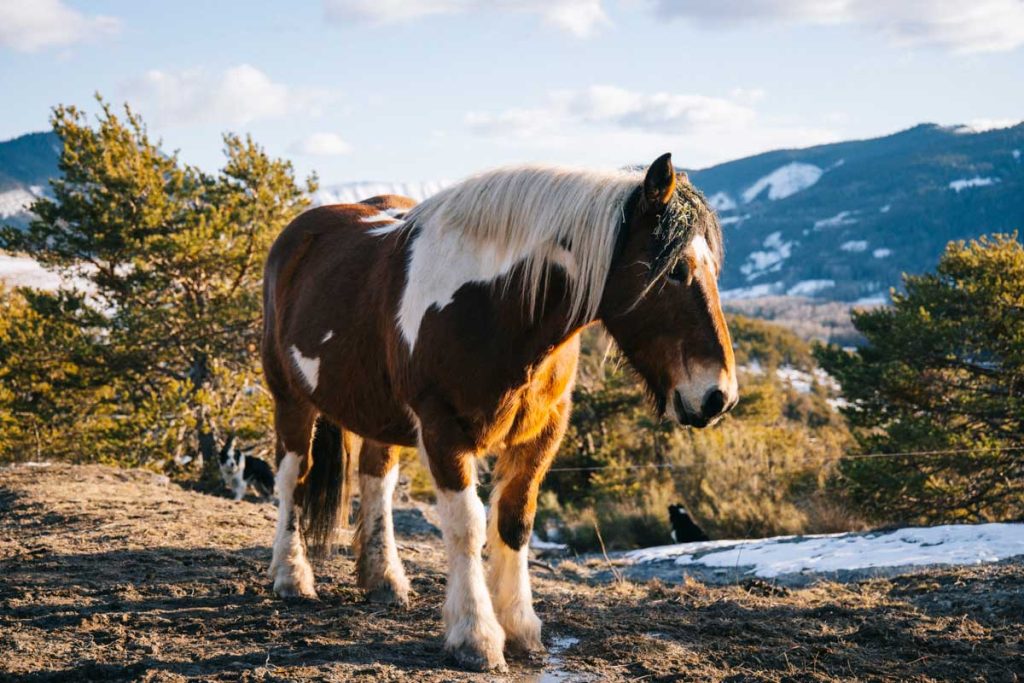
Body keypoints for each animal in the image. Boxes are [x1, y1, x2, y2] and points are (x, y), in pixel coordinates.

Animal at [260, 153, 738, 672]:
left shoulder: (542, 432)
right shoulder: (442, 429)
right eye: (675, 270)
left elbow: (515, 521)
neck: (493, 306)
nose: (719, 396)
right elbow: (466, 527)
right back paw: (291, 576)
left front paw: (520, 627)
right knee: (293, 478)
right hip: (290, 398)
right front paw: (476, 636)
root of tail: (300, 233)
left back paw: (383, 579)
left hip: (378, 415)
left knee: (376, 481)